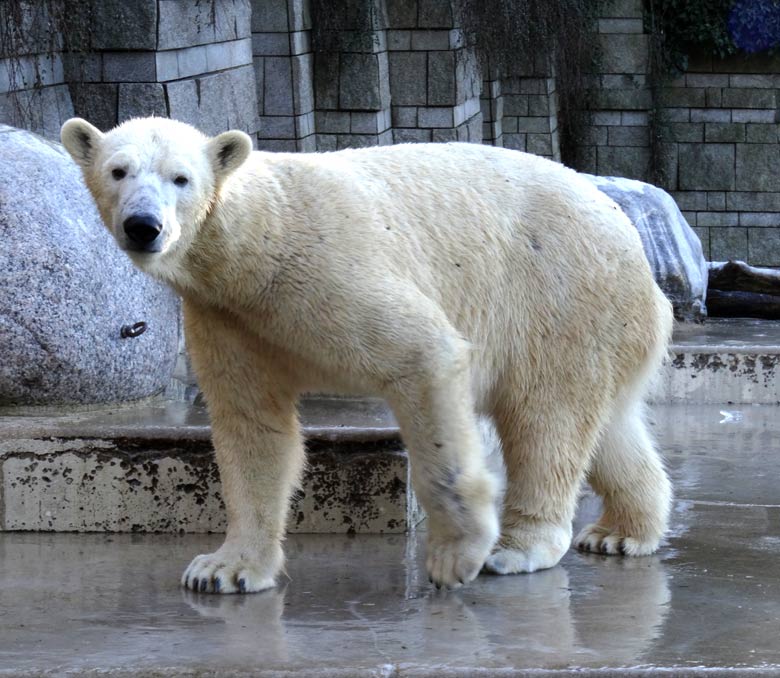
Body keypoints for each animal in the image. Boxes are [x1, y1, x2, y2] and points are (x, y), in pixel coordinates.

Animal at [61, 117, 672, 596]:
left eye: (181, 178)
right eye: (118, 171)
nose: (144, 226)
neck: (258, 242)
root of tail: (632, 239)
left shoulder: (326, 271)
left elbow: (425, 354)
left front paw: (458, 552)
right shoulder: (229, 318)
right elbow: (252, 427)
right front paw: (224, 568)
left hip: (557, 296)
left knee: (545, 419)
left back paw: (518, 548)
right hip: (602, 323)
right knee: (606, 424)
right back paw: (621, 532)